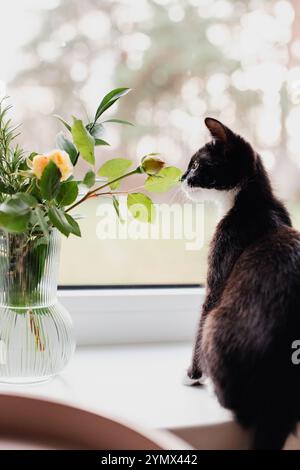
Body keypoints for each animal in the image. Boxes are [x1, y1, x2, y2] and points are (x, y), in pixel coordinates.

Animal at [182, 117, 300, 448]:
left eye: (197, 164)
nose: (182, 177)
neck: (255, 203)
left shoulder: (221, 262)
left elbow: (201, 316)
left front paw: (192, 375)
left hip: (218, 322)